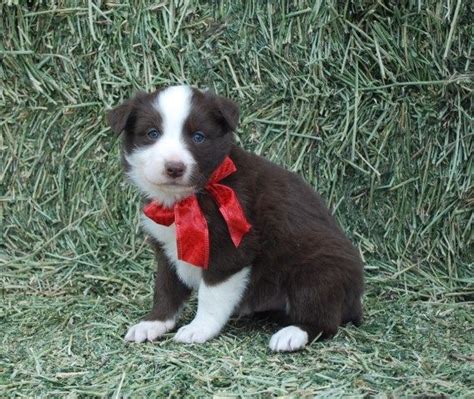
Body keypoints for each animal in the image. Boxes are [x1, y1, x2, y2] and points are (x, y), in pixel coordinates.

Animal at [109, 86, 364, 352]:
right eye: (152, 134)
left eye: (198, 137)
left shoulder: (229, 252)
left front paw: (199, 329)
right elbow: (165, 289)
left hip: (318, 271)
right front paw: (154, 323)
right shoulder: (166, 250)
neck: (185, 201)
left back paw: (292, 334)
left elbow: (210, 296)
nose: (174, 168)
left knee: (325, 319)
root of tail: (355, 300)